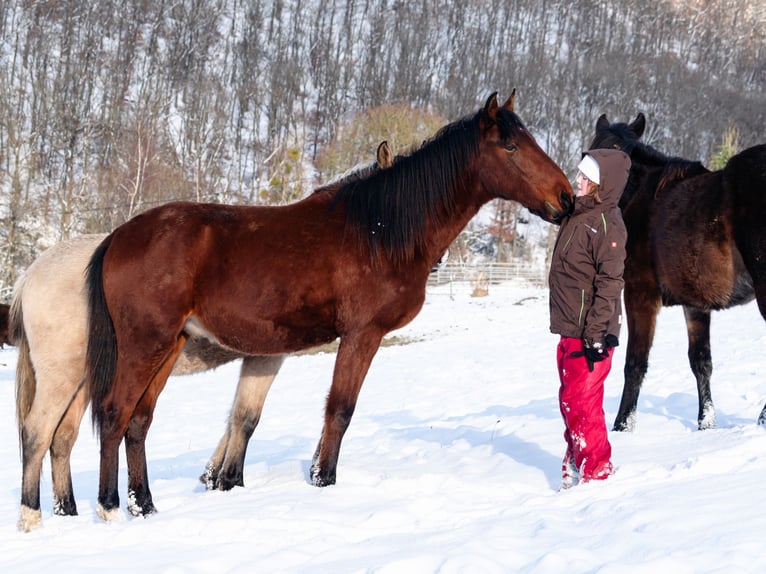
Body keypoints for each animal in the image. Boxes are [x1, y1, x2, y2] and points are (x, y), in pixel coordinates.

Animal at [13, 143, 396, 532]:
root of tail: (31, 275)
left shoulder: (264, 353)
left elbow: (242, 416)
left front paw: (217, 477)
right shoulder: (271, 351)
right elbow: (246, 418)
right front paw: (224, 476)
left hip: (84, 380)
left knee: (62, 439)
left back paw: (68, 510)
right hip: (65, 376)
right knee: (40, 432)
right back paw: (36, 515)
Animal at [84, 92, 573, 521]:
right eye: (511, 146)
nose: (566, 198)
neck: (380, 230)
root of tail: (118, 237)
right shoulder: (362, 334)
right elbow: (340, 408)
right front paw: (324, 481)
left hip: (169, 346)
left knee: (138, 422)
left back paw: (145, 506)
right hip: (145, 346)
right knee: (113, 414)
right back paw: (109, 506)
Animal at [588, 113, 766, 431]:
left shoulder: (640, 294)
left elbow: (635, 362)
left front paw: (623, 425)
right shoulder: (695, 304)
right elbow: (701, 362)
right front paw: (705, 423)